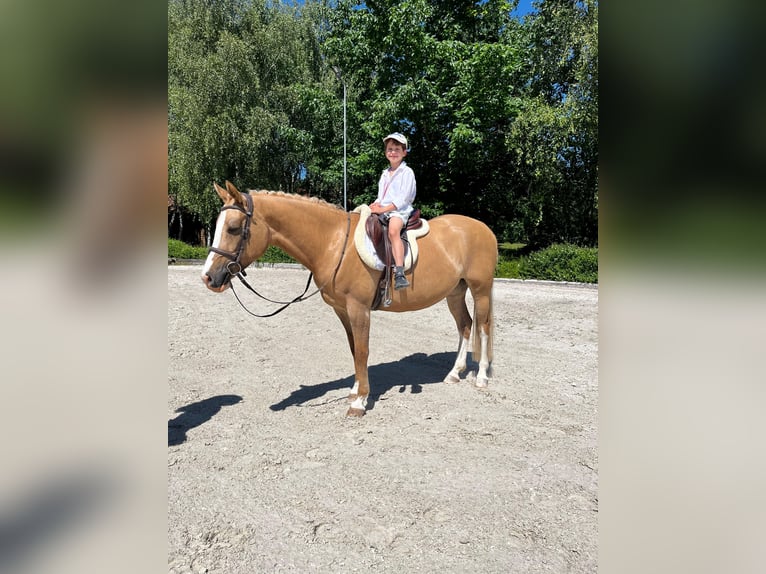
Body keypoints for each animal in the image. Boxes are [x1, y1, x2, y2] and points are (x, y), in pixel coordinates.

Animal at [202, 181, 497, 417]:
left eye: (233, 228)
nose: (208, 277)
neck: (334, 243)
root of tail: (485, 229)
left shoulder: (359, 308)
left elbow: (363, 350)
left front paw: (360, 402)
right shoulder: (342, 310)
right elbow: (354, 349)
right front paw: (355, 391)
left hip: (480, 289)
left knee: (482, 328)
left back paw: (482, 377)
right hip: (454, 292)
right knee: (465, 326)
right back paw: (454, 374)